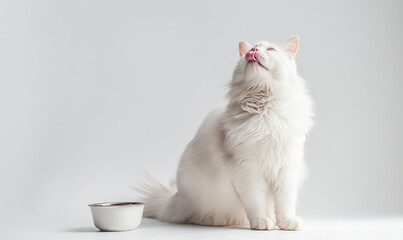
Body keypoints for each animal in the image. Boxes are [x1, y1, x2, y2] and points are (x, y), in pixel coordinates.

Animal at [139, 36, 316, 231]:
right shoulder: (247, 168)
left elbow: (285, 203)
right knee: (193, 215)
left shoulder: (287, 167)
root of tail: (172, 200)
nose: (253, 51)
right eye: (254, 47)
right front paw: (262, 221)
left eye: (271, 50)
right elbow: (256, 201)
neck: (265, 114)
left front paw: (287, 223)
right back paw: (212, 220)